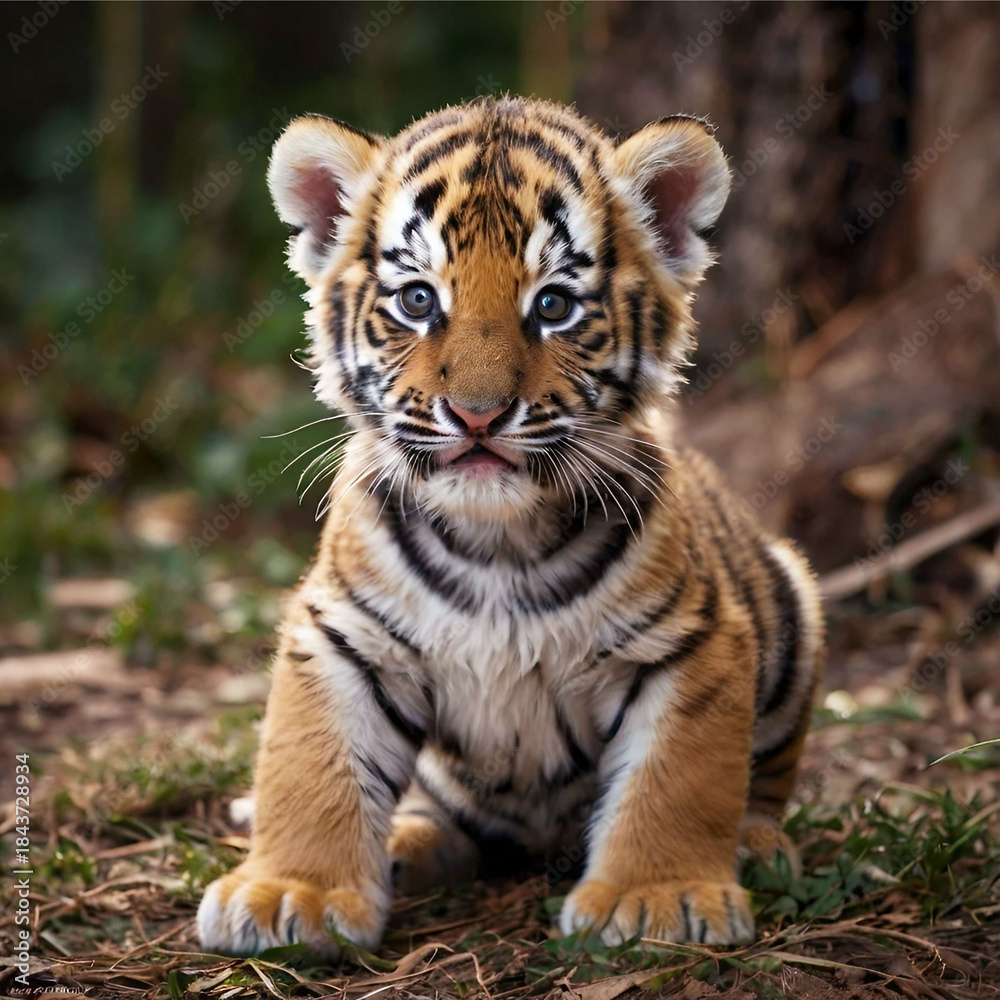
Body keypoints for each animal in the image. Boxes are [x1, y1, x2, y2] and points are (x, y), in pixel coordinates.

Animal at [196, 96, 824, 957]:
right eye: (418, 300)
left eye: (553, 306)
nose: (478, 415)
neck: (498, 540)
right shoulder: (343, 632)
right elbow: (309, 764)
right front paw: (291, 892)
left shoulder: (691, 641)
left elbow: (677, 778)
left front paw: (658, 897)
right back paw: (405, 845)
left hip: (792, 608)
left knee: (764, 782)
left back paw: (757, 847)